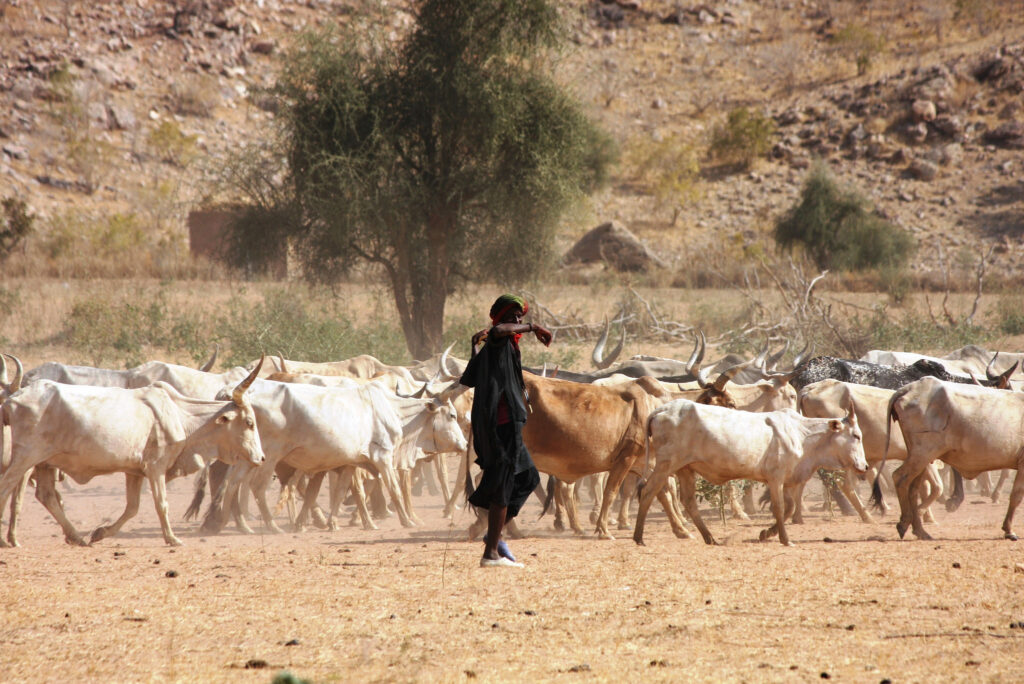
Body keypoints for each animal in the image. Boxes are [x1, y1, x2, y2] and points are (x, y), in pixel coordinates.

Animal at [1, 366, 264, 548]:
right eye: (249, 423)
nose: (261, 458)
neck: (180, 414)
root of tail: (13, 398)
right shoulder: (156, 467)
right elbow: (161, 504)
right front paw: (172, 538)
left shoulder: (134, 471)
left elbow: (132, 508)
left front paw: (101, 533)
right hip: (26, 458)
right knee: (8, 486)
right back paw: (8, 540)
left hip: (45, 463)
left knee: (46, 496)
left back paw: (76, 536)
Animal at [630, 397, 864, 548]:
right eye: (856, 435)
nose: (864, 466)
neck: (801, 434)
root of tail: (661, 409)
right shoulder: (775, 478)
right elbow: (780, 508)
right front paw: (785, 539)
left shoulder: (787, 480)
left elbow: (789, 508)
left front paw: (766, 533)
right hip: (666, 464)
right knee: (648, 491)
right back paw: (639, 537)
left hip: (685, 469)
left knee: (688, 501)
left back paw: (710, 538)